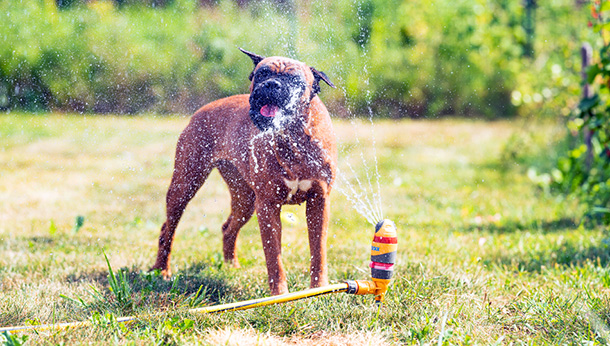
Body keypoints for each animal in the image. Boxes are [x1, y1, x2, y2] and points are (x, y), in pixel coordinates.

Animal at [150, 47, 334, 294]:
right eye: (261, 74)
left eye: (295, 80)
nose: (271, 84)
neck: (291, 135)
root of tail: (203, 109)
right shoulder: (268, 206)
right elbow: (274, 258)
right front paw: (279, 294)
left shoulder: (318, 202)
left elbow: (318, 251)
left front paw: (318, 289)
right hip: (185, 185)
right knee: (167, 229)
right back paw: (161, 270)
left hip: (244, 200)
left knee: (228, 228)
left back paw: (231, 267)